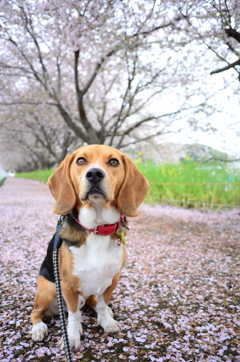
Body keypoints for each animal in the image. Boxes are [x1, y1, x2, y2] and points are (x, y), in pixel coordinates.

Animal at [31, 145, 149, 350]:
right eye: (81, 161)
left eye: (113, 162)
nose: (94, 174)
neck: (96, 229)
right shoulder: (68, 286)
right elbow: (73, 315)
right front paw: (71, 337)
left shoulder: (113, 279)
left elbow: (101, 304)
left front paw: (106, 322)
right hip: (49, 288)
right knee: (36, 311)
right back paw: (38, 328)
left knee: (93, 301)